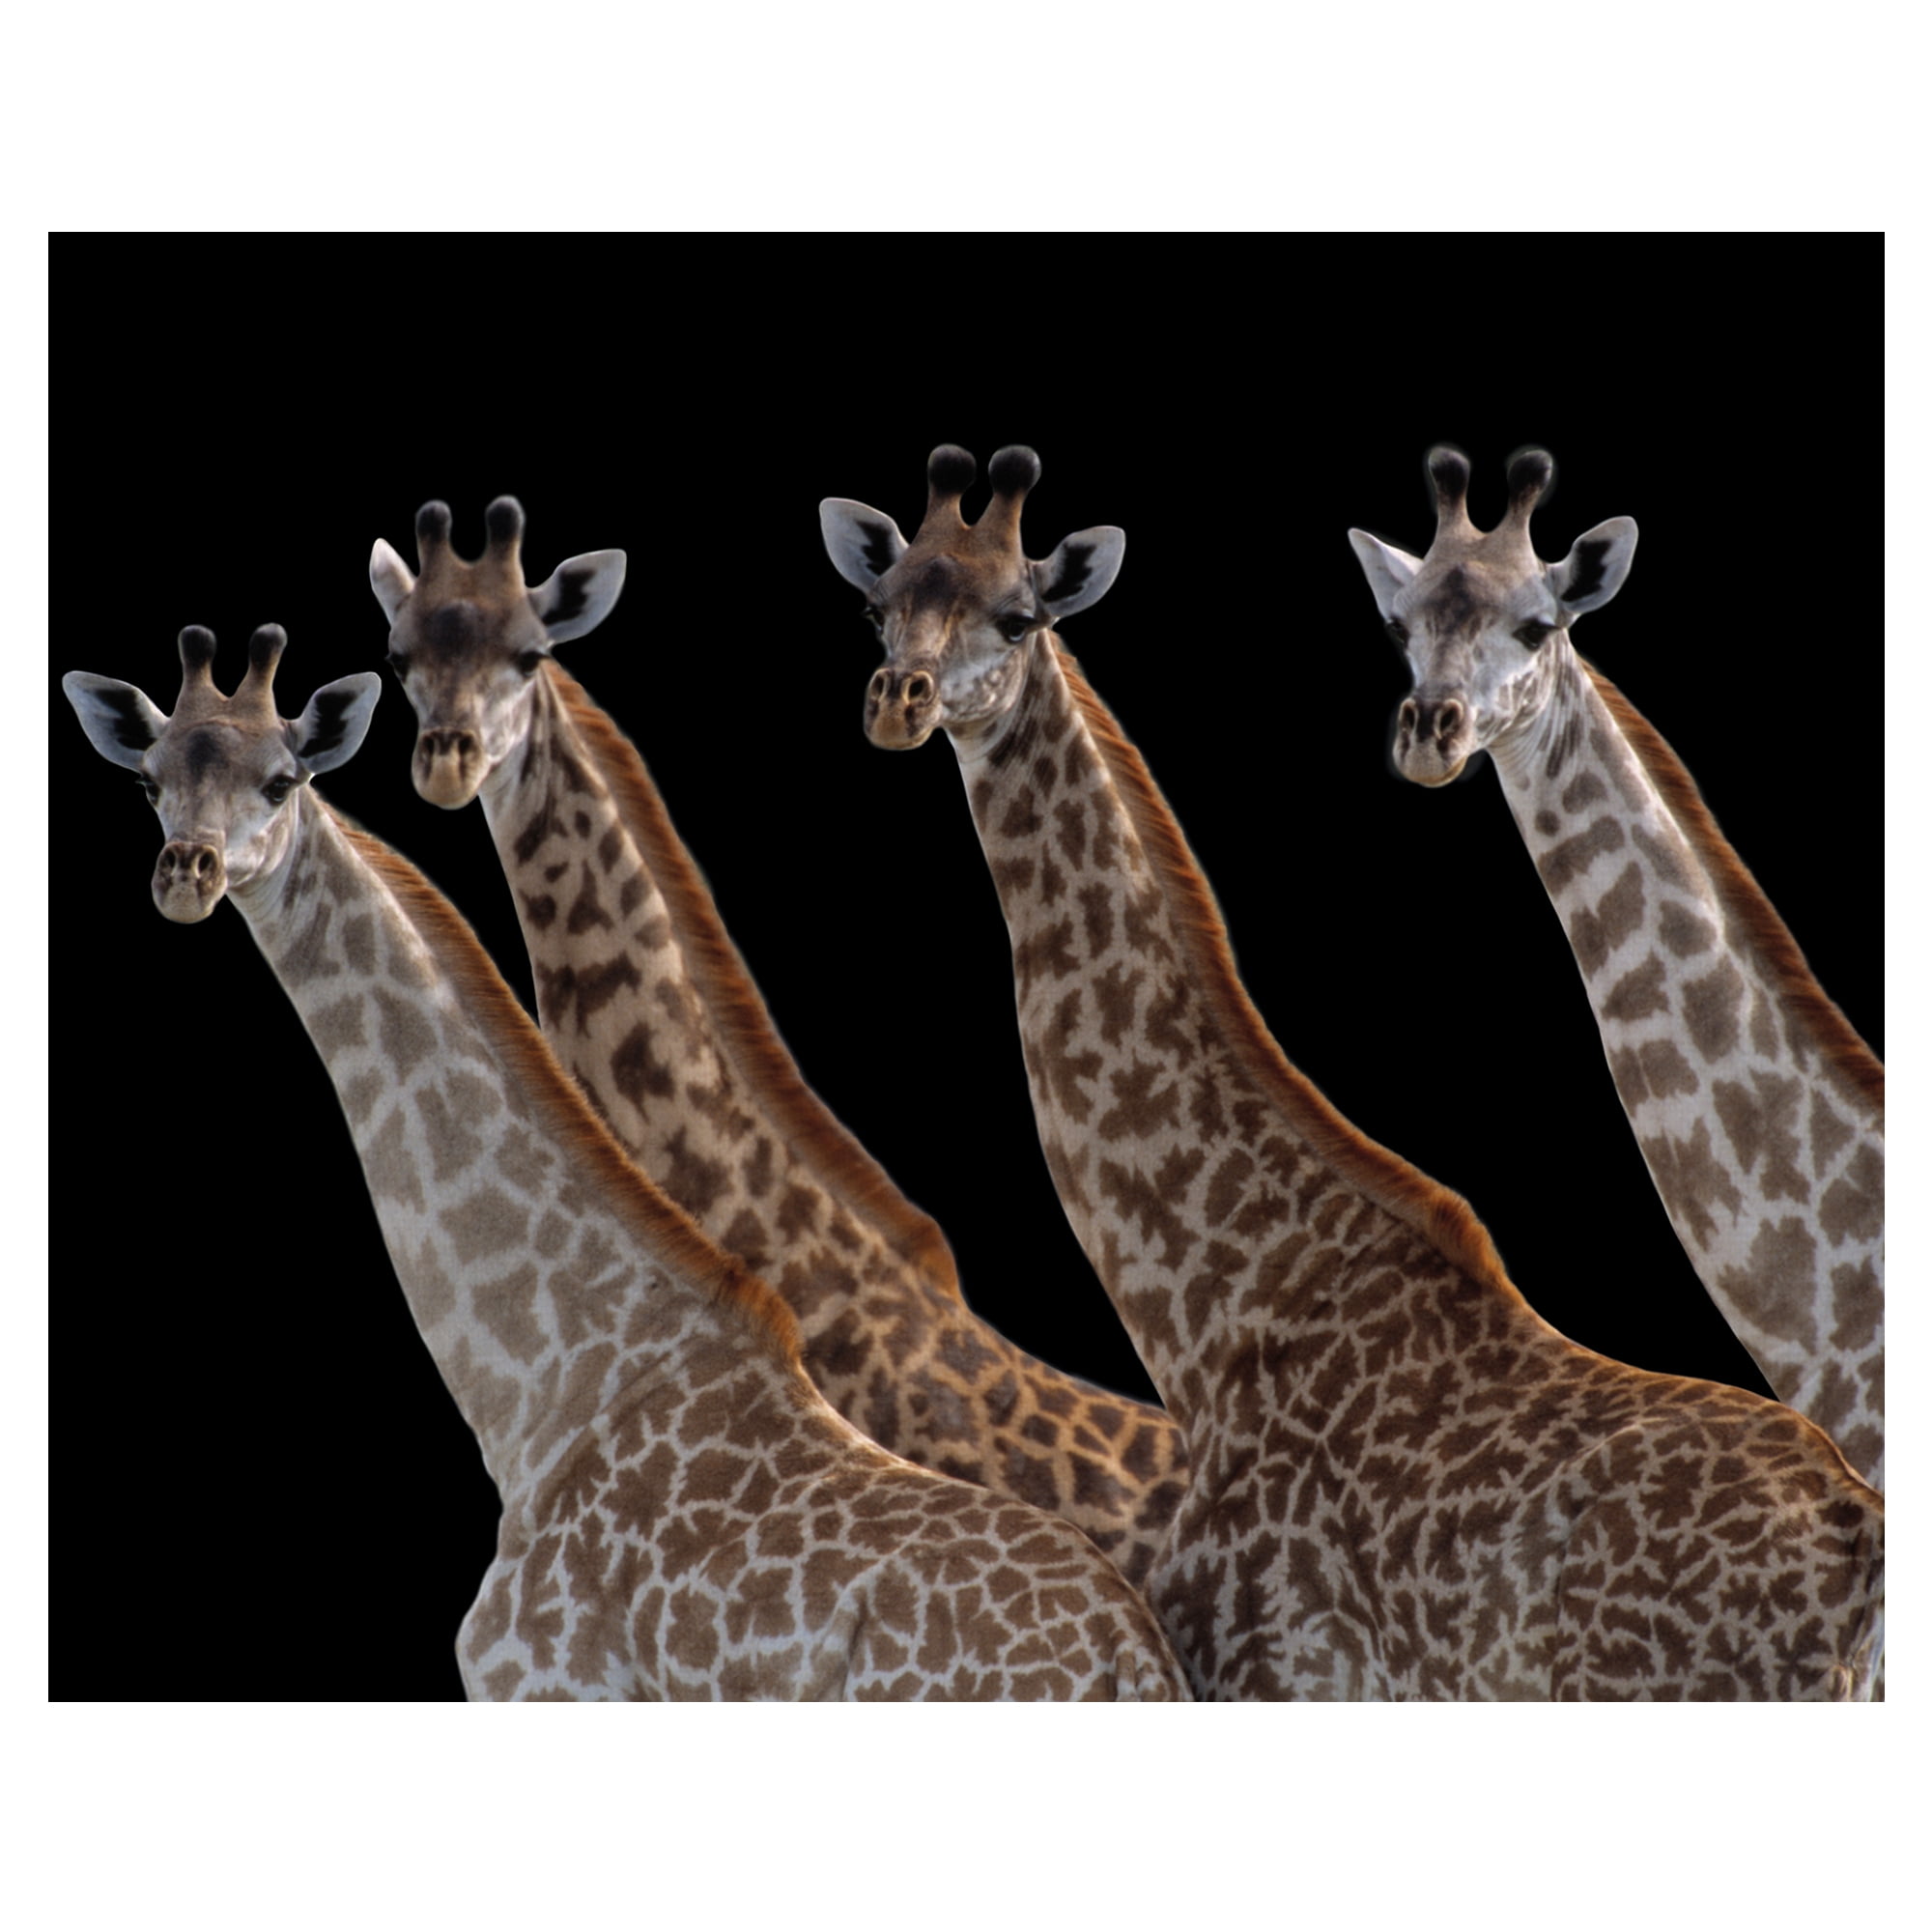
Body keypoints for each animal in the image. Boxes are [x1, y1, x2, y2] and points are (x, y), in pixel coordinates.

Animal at [61, 624, 1192, 1700]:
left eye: (280, 778)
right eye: (150, 779)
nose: (188, 873)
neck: (549, 1386)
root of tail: (1130, 1659)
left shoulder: (545, 1687)